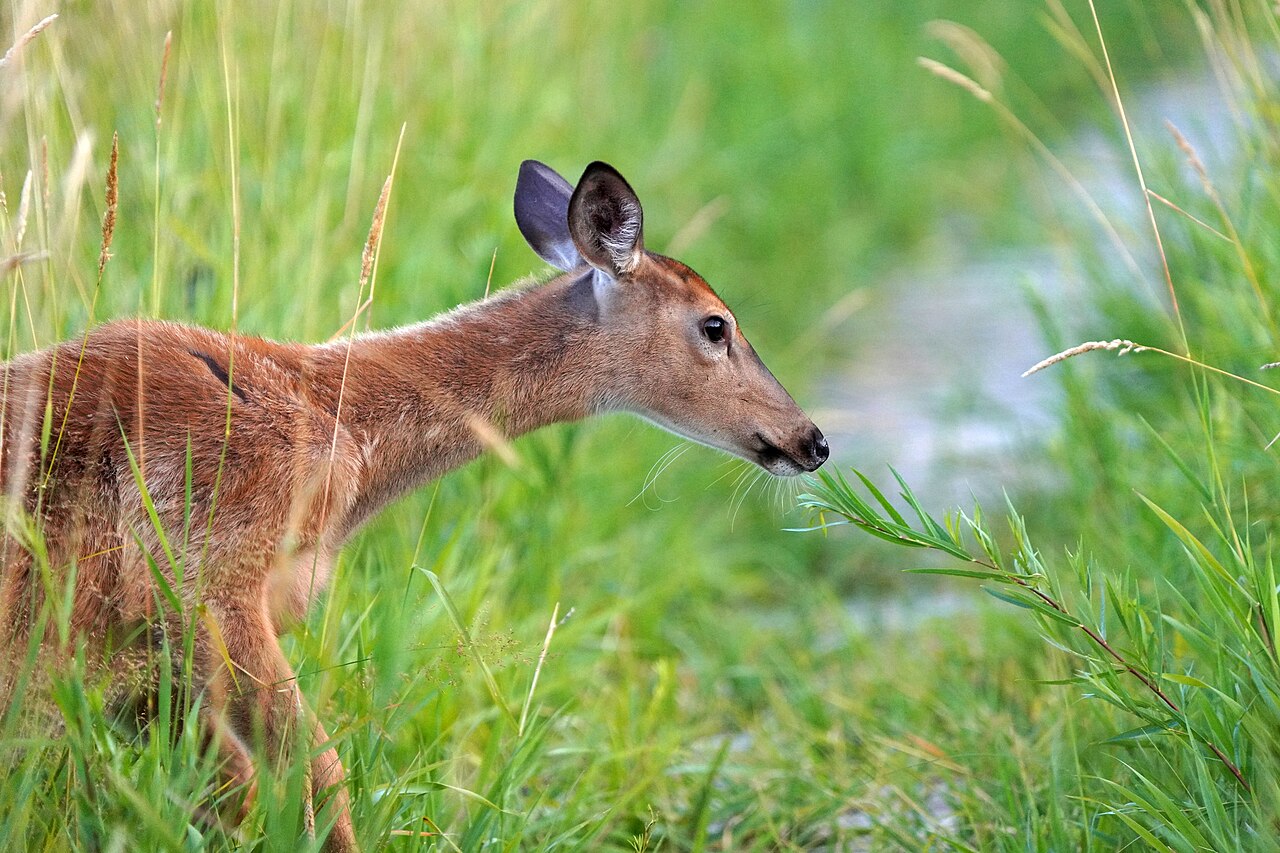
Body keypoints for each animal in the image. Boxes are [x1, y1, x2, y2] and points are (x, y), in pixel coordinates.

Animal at [0, 159, 828, 850]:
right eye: (716, 324)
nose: (812, 439)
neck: (341, 432)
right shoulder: (207, 578)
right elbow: (308, 774)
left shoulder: (139, 646)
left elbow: (229, 785)